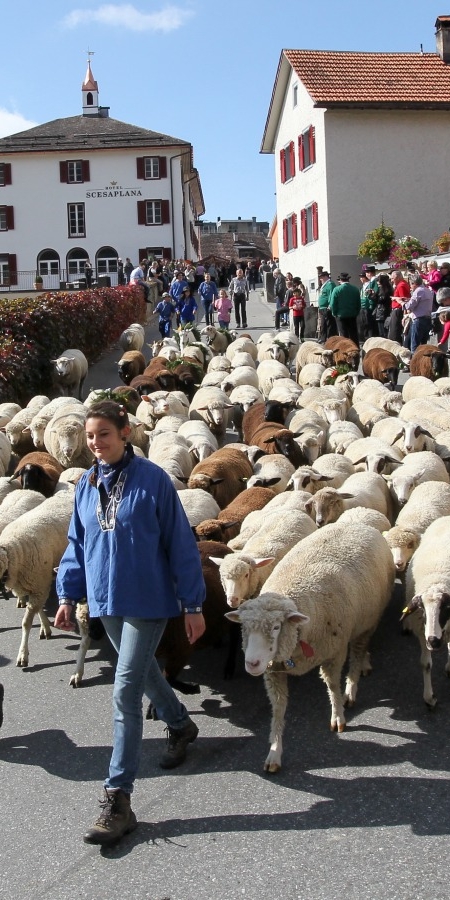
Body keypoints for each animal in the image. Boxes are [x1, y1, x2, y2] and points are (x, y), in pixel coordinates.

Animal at [0, 488, 74, 664]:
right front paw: (45, 627)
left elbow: (26, 623)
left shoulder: (40, 584)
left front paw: (23, 654)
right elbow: (37, 608)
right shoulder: (36, 585)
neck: (13, 552)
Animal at [227, 524, 396, 768]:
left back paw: (352, 686)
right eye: (244, 627)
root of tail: (359, 523)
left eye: (277, 627)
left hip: (367, 622)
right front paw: (275, 751)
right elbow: (278, 708)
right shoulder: (273, 670)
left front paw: (338, 716)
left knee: (357, 653)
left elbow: (332, 686)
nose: (252, 663)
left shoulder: (334, 652)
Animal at [402, 516, 450, 708]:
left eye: (446, 607)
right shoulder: (422, 631)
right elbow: (426, 664)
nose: (434, 641)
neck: (436, 581)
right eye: (422, 608)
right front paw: (429, 698)